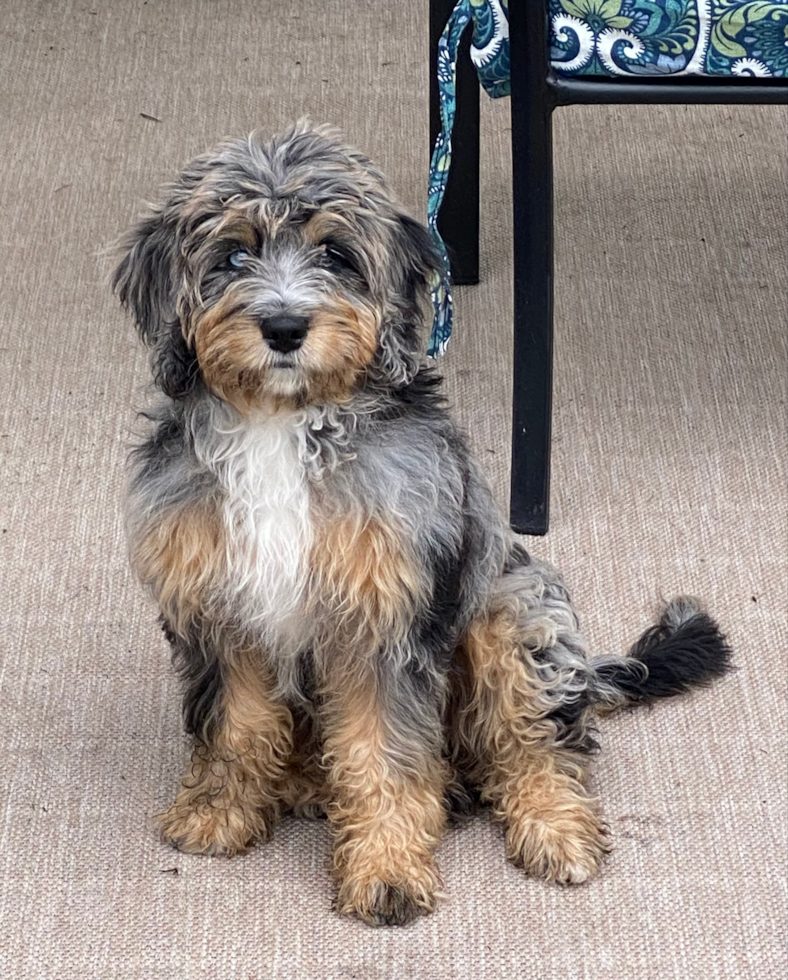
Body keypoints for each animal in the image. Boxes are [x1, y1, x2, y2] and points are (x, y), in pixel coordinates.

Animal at [112, 122, 732, 928]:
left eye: (335, 253)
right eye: (233, 254)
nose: (284, 326)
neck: (283, 426)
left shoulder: (387, 619)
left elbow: (384, 756)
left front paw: (386, 869)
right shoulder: (219, 611)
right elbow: (235, 727)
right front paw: (220, 811)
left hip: (512, 611)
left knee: (535, 744)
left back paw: (553, 825)